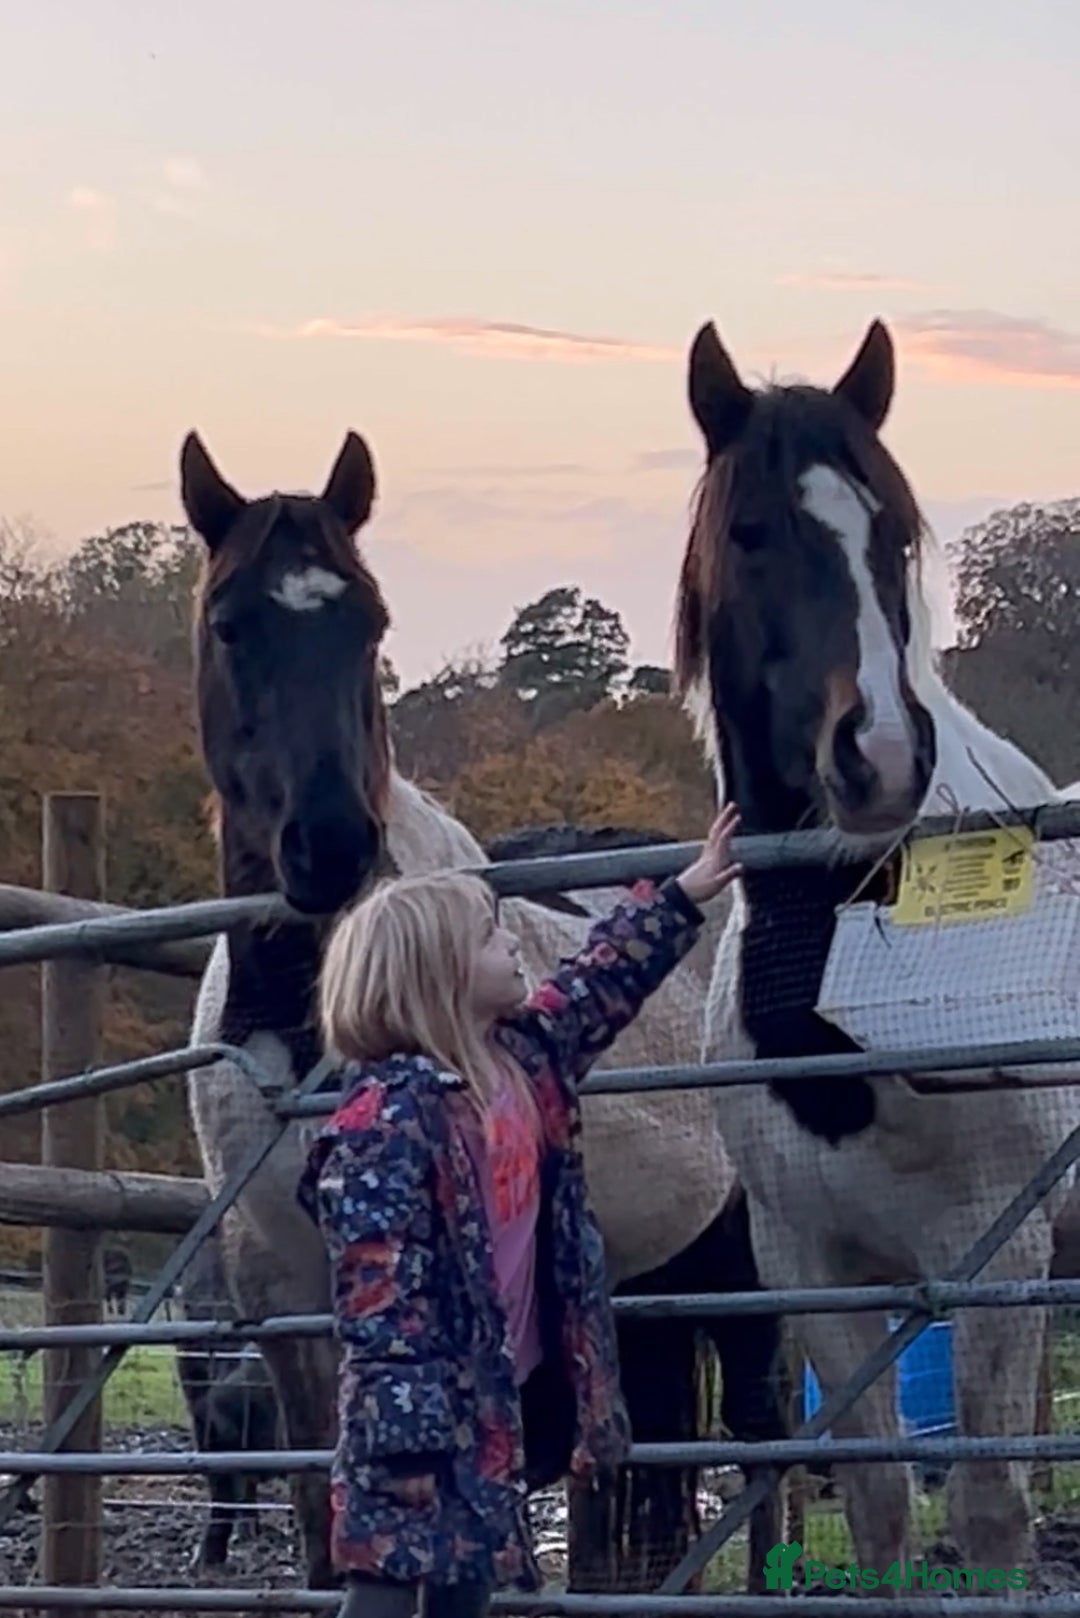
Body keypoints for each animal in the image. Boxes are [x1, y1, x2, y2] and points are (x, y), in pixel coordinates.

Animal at [178, 430, 789, 1592]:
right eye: (230, 624)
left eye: (369, 624)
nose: (332, 845)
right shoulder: (283, 1306)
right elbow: (322, 1523)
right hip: (646, 1286)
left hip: (740, 1264)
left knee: (764, 1433)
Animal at [673, 314, 1080, 1590]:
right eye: (750, 532)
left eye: (893, 533)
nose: (884, 757)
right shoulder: (816, 1265)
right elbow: (879, 1498)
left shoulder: (995, 1257)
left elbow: (992, 1510)